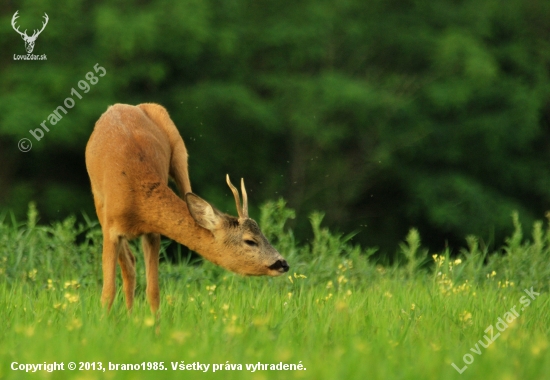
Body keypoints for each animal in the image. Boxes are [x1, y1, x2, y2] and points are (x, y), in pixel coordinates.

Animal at [84, 102, 292, 314]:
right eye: (250, 241)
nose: (283, 263)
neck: (135, 191)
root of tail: (119, 105)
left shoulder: (152, 232)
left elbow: (153, 291)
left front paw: (153, 322)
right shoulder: (111, 229)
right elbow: (108, 291)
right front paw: (106, 320)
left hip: (180, 154)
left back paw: (130, 314)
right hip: (98, 201)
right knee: (129, 265)